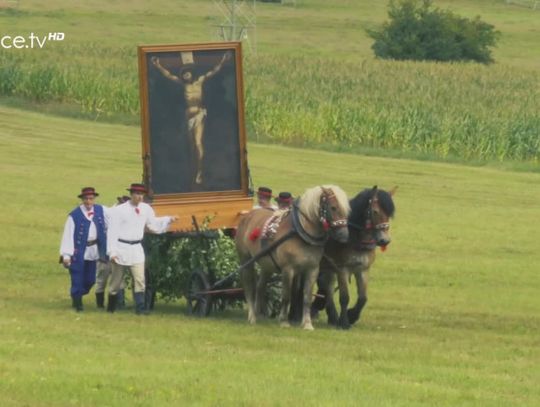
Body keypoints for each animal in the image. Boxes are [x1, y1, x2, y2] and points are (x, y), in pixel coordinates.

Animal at [236, 186, 350, 330]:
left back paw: (258, 313)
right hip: (246, 260)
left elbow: (306, 297)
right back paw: (252, 316)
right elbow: (286, 296)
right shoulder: (288, 269)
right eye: (333, 207)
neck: (300, 233)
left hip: (267, 264)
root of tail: (248, 215)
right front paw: (284, 321)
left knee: (260, 286)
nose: (344, 236)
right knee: (249, 287)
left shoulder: (312, 269)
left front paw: (307, 324)